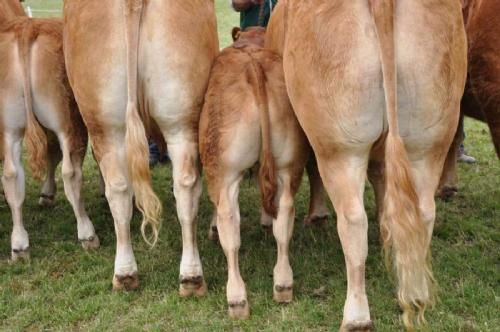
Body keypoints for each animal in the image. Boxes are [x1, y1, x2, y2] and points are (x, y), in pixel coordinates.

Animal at [0, 13, 98, 260]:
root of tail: (27, 28)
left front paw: (46, 194)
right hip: (66, 121)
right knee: (71, 173)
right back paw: (87, 233)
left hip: (11, 129)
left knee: (12, 175)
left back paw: (19, 245)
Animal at [201, 27, 310, 320]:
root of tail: (253, 65)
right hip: (288, 164)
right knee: (284, 217)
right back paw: (283, 284)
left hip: (224, 172)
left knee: (230, 227)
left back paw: (237, 298)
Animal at [268, 0, 466, 330]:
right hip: (430, 140)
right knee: (424, 212)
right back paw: (415, 294)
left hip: (339, 148)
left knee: (352, 221)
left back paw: (356, 315)